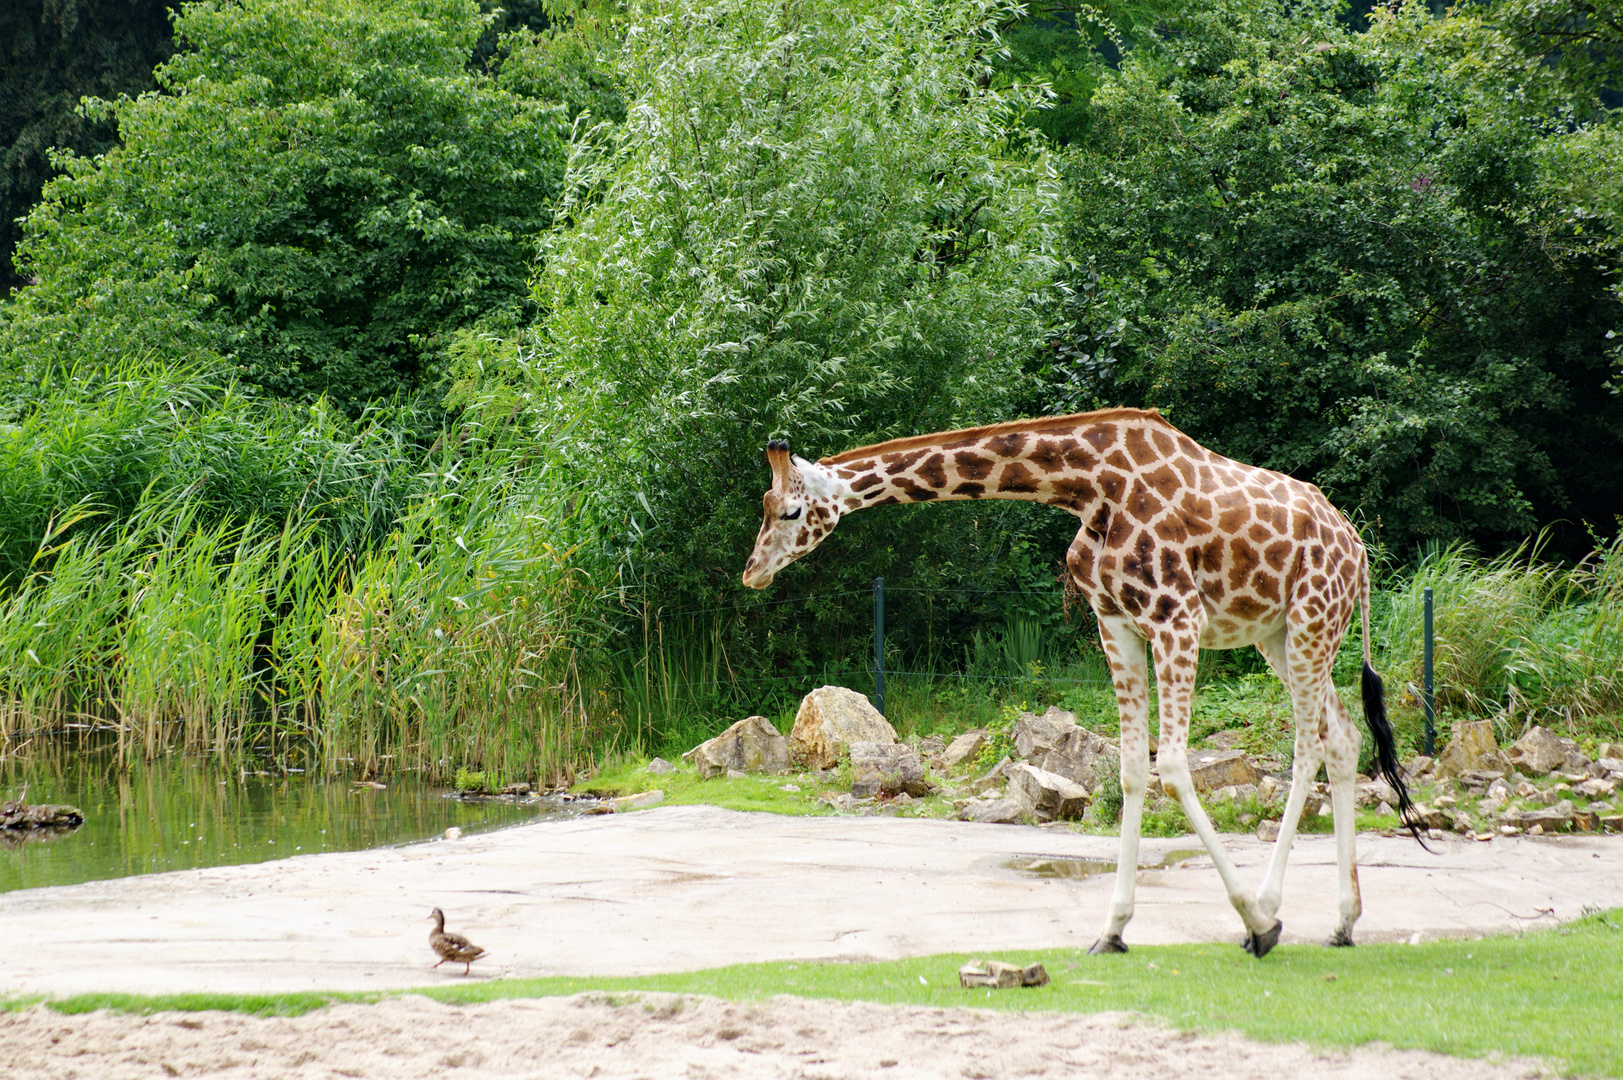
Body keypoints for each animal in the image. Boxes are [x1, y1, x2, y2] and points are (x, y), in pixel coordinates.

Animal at [743, 404, 1415, 954]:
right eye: (765, 508)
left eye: (792, 510)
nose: (752, 572)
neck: (1086, 487)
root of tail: (1358, 551)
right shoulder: (1115, 623)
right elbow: (1130, 768)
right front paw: (1112, 930)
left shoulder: (1177, 617)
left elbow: (1174, 765)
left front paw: (1255, 922)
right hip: (1278, 635)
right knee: (1343, 737)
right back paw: (1344, 921)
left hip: (1310, 621)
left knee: (1308, 747)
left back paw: (1274, 911)